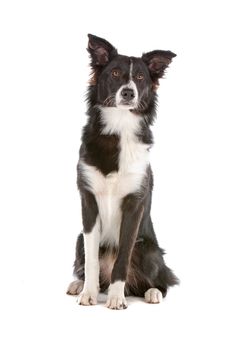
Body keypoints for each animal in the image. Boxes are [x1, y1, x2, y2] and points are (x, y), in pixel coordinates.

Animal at [66, 34, 179, 308]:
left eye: (140, 77)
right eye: (115, 73)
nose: (128, 92)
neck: (119, 124)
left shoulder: (133, 205)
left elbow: (123, 258)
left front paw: (116, 298)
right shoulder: (88, 200)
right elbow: (92, 260)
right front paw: (88, 293)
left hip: (148, 249)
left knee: (162, 279)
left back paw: (152, 292)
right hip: (77, 239)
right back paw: (79, 284)